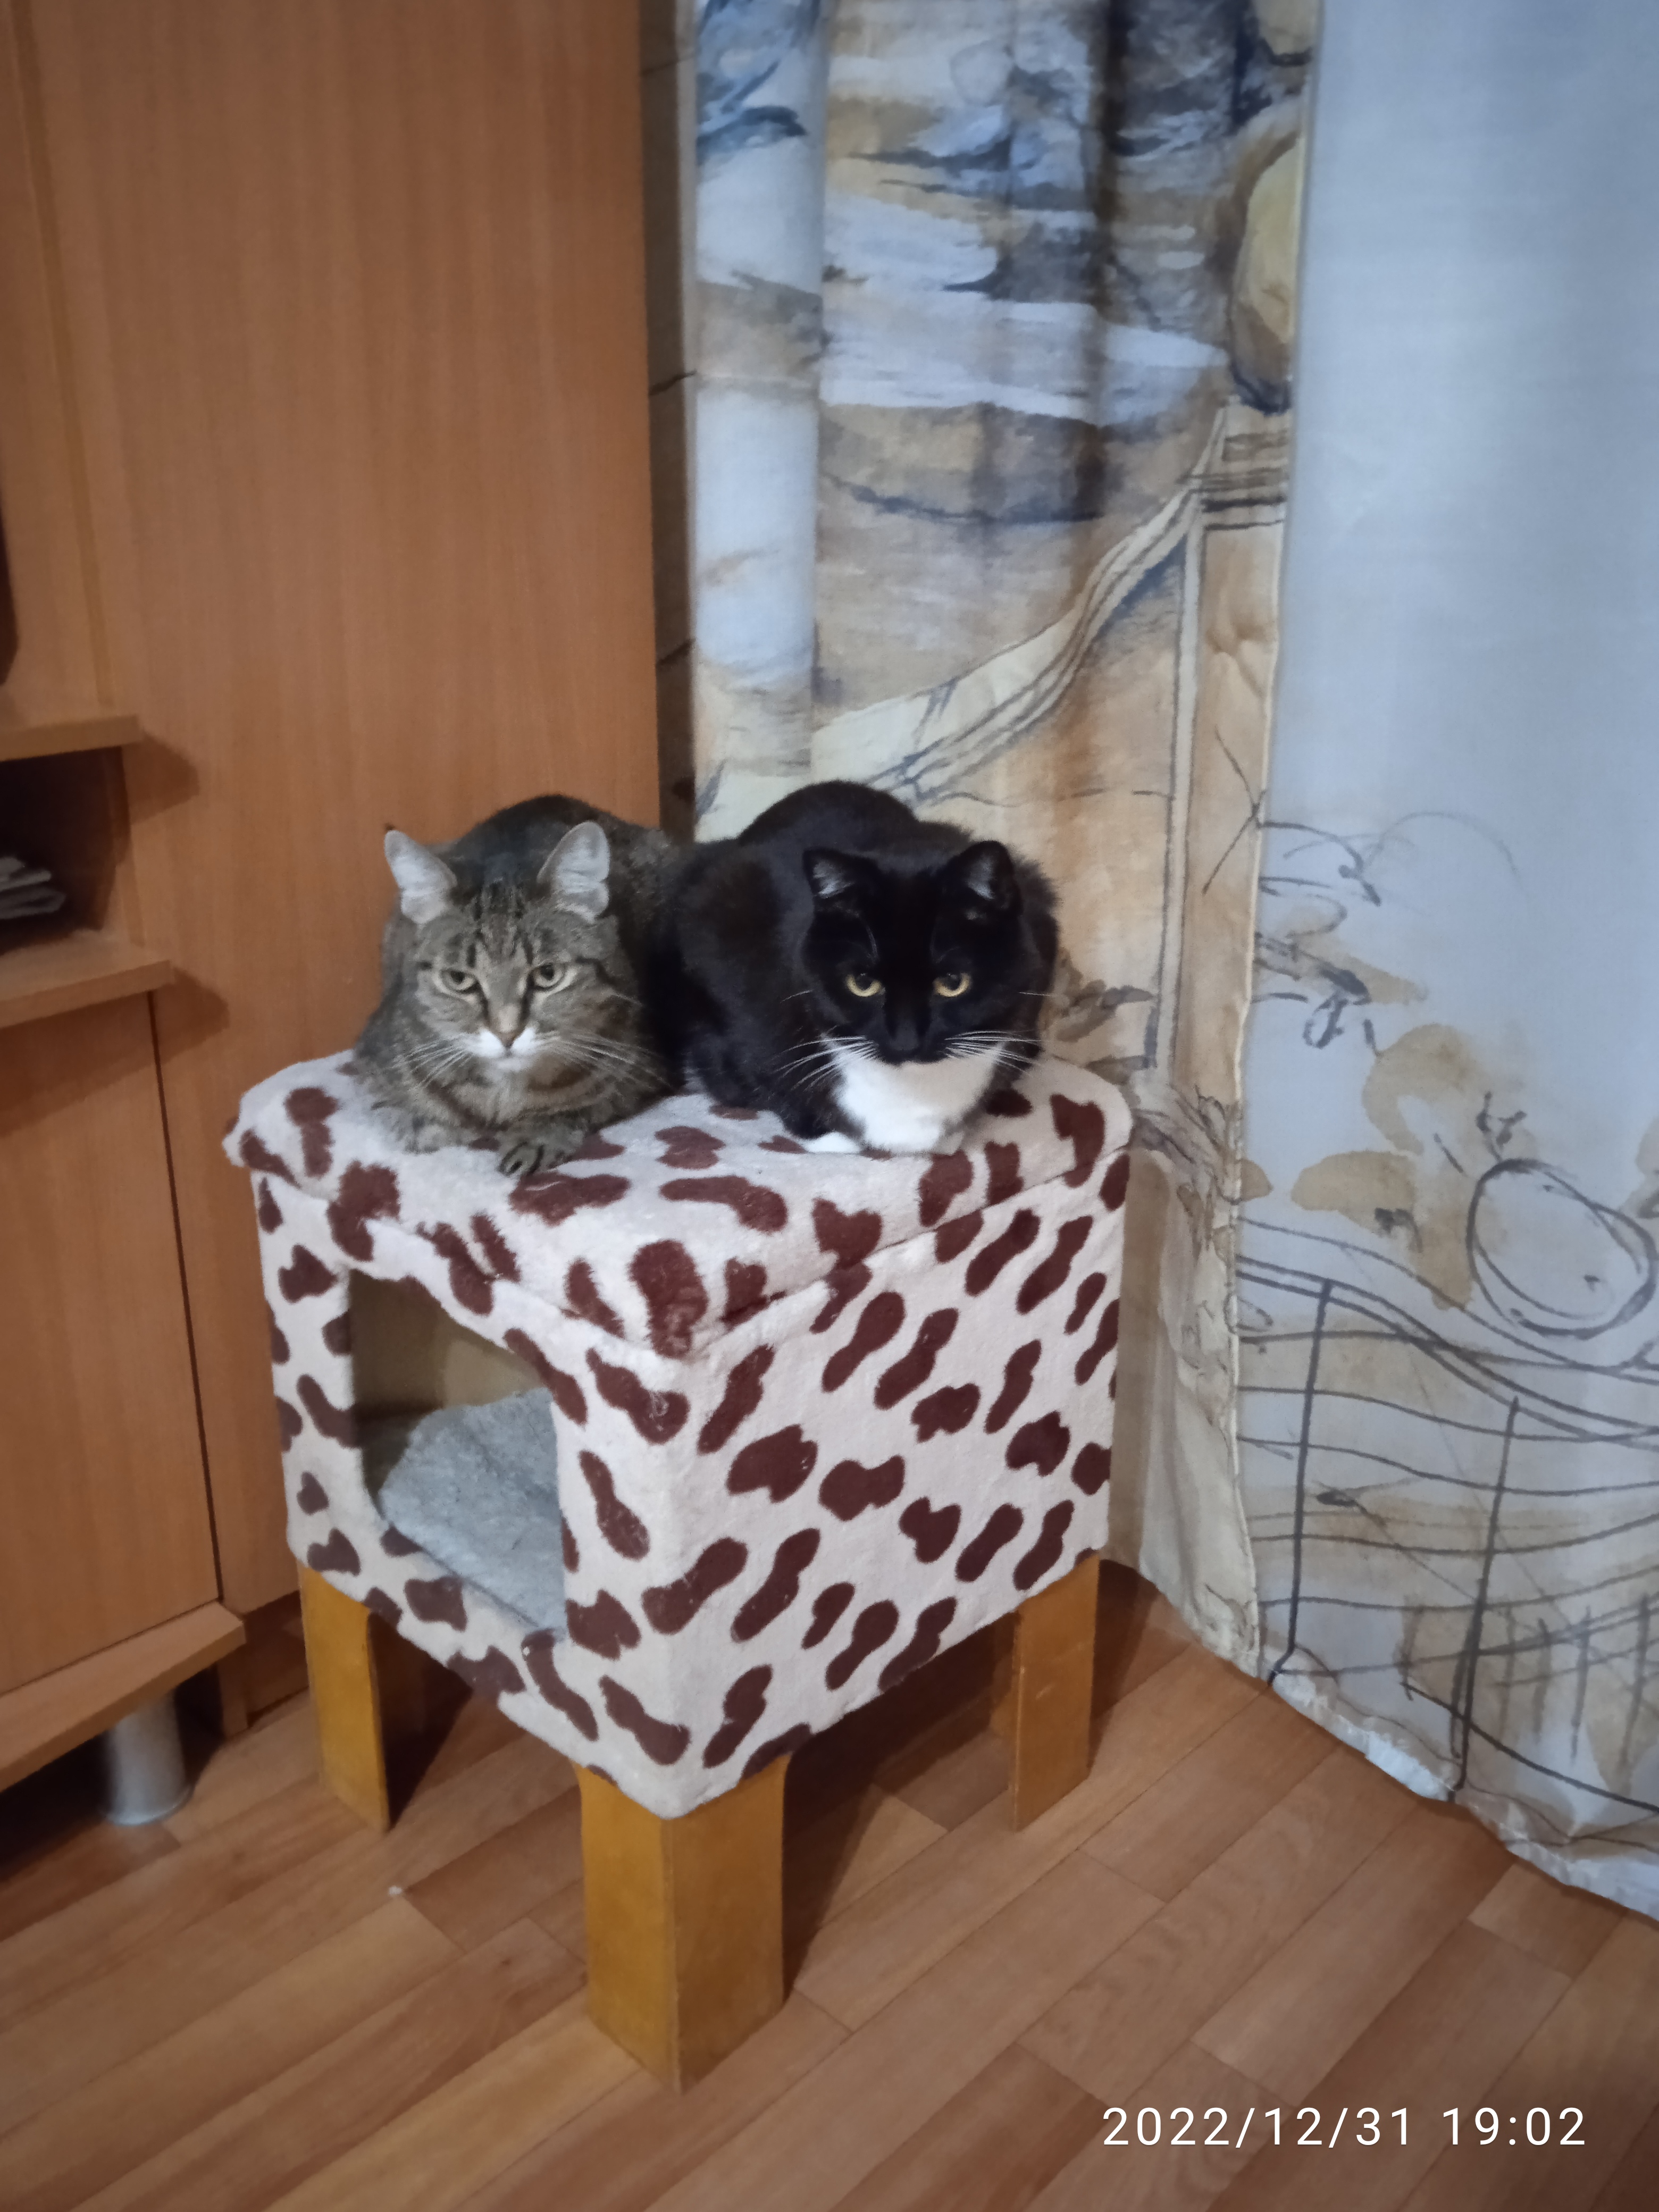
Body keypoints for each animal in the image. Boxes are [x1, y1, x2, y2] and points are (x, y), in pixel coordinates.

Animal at [353, 795, 674, 1176]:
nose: (507, 1034)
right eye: (459, 979)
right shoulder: (371, 1061)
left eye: (548, 975)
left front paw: (537, 1134)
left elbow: (583, 1105)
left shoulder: (649, 1069)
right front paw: (428, 1124)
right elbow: (403, 1111)